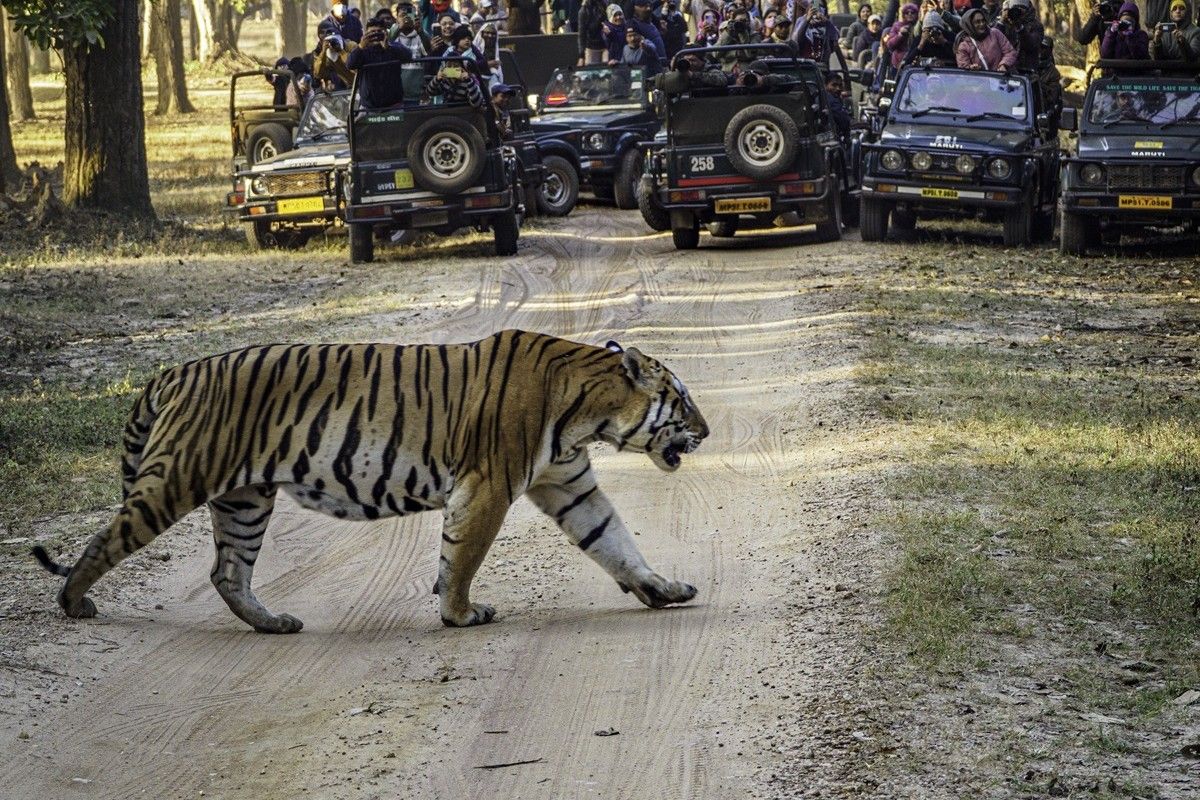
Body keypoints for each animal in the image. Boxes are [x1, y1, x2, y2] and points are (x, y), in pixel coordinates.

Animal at [32, 330, 709, 633]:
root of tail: (174, 371)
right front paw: (460, 614)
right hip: (175, 479)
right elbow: (463, 555)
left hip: (245, 499)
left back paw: (273, 623)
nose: (706, 431)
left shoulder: (569, 485)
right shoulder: (488, 484)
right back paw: (73, 603)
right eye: (681, 400)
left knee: (227, 572)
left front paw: (662, 589)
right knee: (105, 540)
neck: (589, 409)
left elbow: (615, 541)